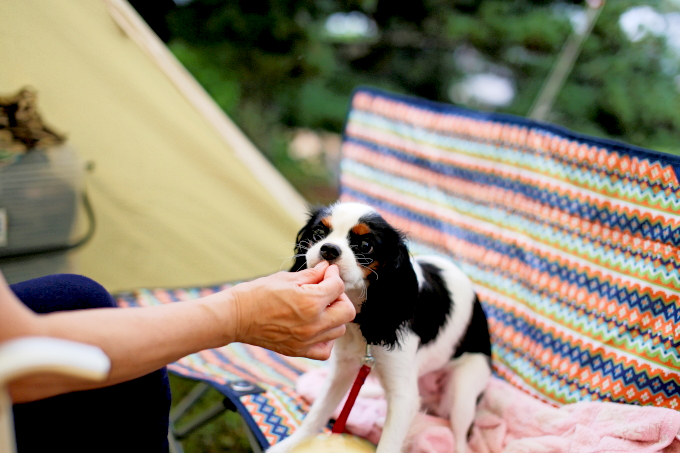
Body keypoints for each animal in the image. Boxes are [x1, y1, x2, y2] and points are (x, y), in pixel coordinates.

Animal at [268, 202, 492, 452]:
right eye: (318, 234)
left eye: (366, 246)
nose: (329, 249)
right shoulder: (342, 371)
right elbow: (316, 415)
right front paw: (289, 445)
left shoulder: (404, 397)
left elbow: (389, 443)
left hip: (464, 389)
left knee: (461, 435)